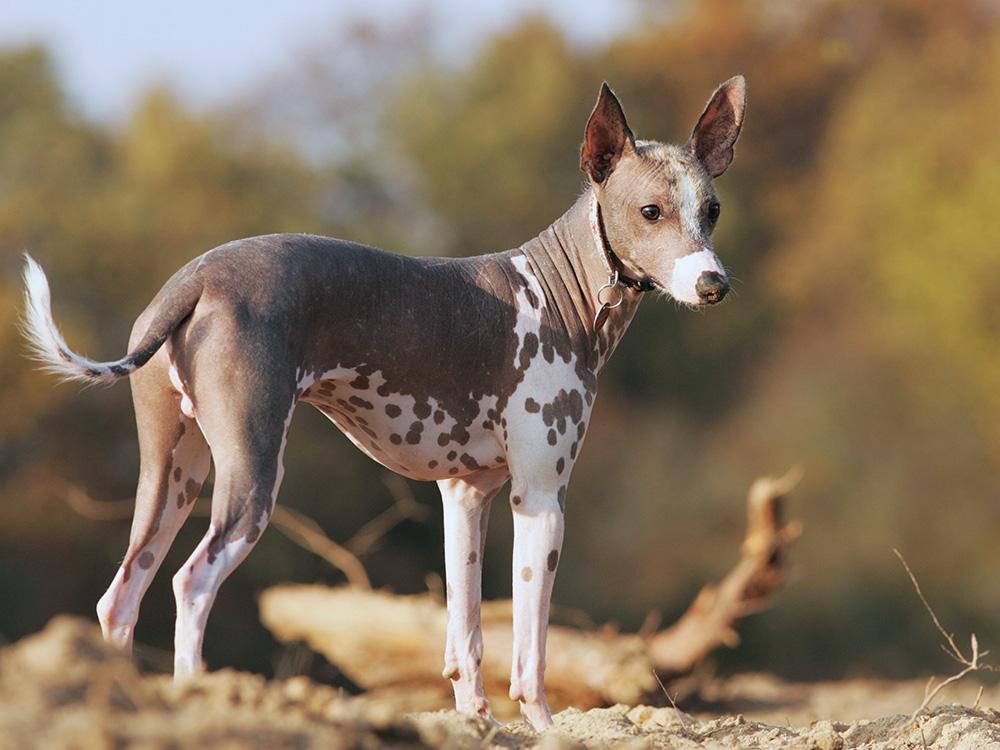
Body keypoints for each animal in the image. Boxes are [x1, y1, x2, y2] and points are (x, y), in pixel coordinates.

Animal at [21, 79, 744, 732]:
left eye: (711, 209)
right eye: (650, 211)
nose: (714, 284)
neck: (554, 289)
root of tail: (195, 279)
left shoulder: (465, 498)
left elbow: (466, 635)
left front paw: (474, 720)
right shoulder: (540, 500)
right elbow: (529, 649)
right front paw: (541, 727)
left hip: (172, 475)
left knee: (121, 597)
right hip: (252, 476)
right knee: (190, 584)